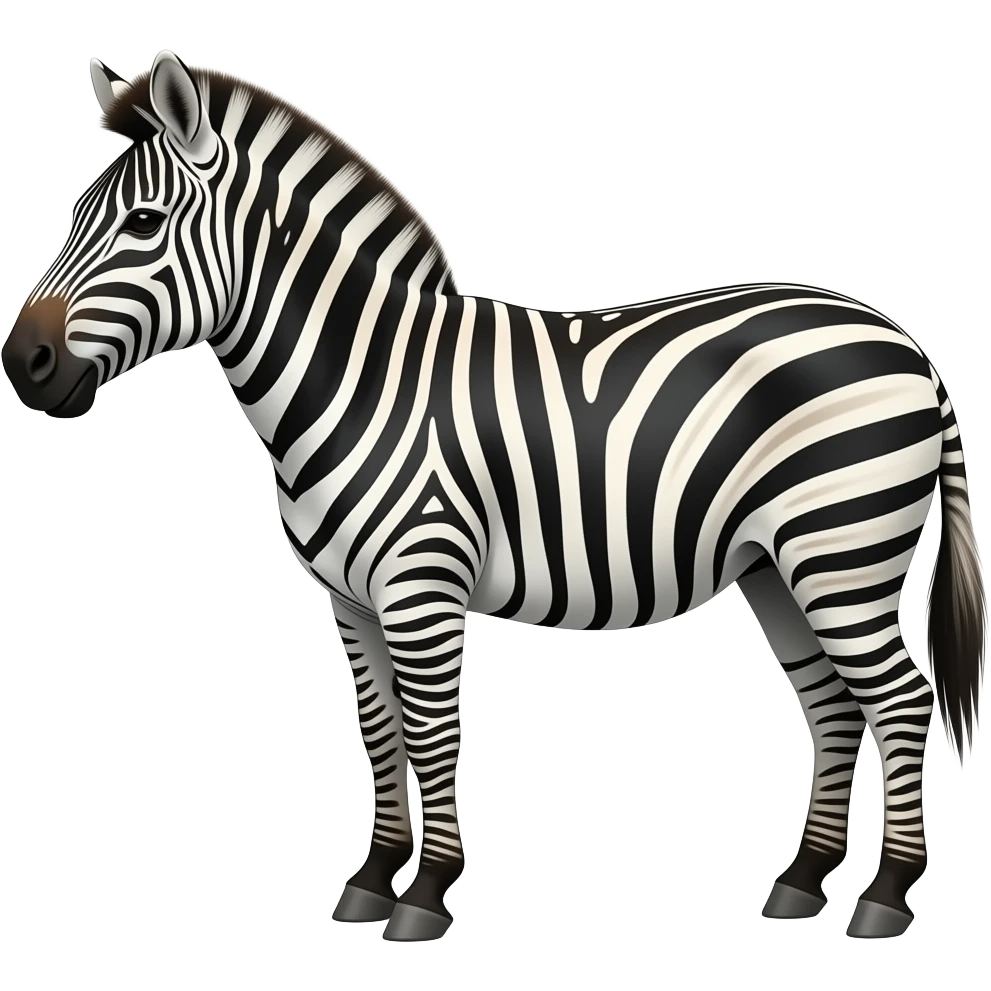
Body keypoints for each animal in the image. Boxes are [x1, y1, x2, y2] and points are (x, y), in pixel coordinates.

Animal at [2, 51, 986, 943]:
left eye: (142, 221)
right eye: (75, 215)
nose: (24, 363)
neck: (361, 379)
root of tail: (906, 343)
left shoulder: (422, 584)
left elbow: (434, 732)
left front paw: (425, 895)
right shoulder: (349, 600)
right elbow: (379, 731)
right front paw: (370, 881)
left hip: (840, 550)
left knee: (899, 701)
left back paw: (883, 897)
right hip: (775, 565)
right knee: (831, 704)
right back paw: (800, 881)